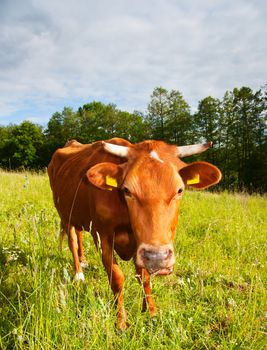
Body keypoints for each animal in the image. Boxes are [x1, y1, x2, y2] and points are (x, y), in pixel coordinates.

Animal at [47, 138, 222, 330]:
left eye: (180, 190)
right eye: (127, 190)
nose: (158, 257)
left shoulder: (141, 245)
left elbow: (144, 278)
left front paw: (151, 311)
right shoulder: (102, 236)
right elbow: (117, 278)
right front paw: (121, 321)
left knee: (78, 234)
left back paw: (83, 261)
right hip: (65, 214)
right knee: (72, 240)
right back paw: (79, 273)